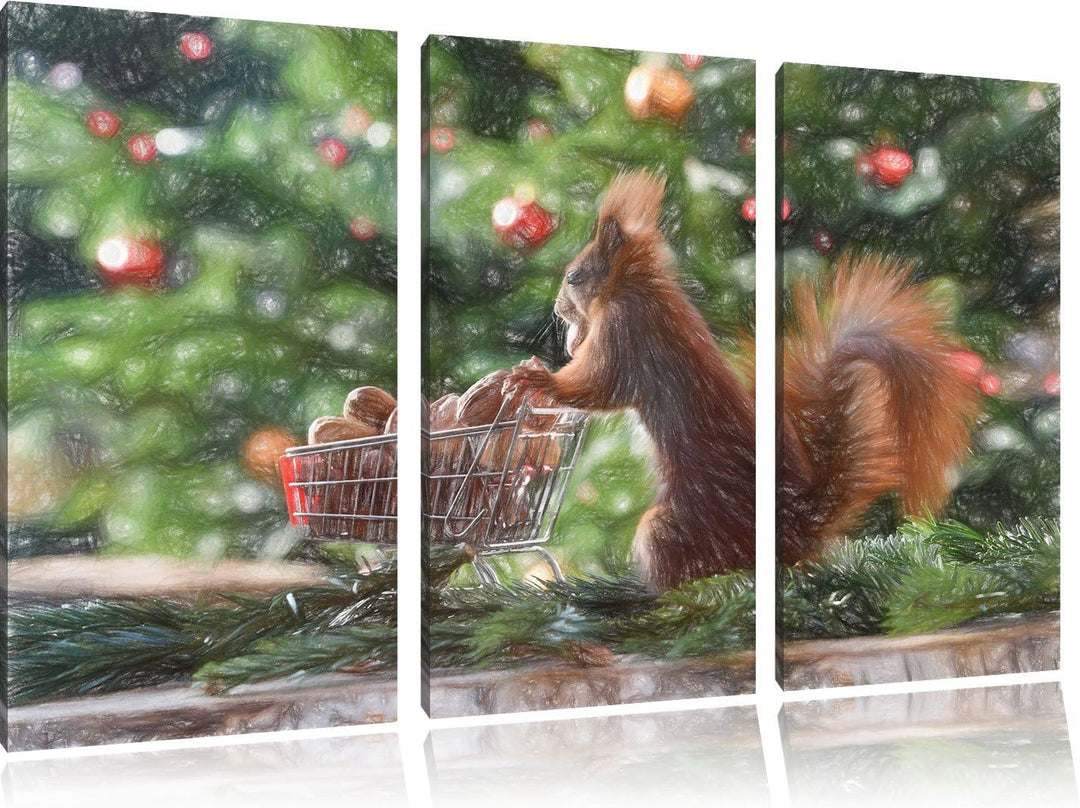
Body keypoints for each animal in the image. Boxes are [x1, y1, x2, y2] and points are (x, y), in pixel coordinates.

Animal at [506, 170, 978, 591]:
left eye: (575, 277)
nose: (558, 308)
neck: (636, 288)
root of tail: (794, 532)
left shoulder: (628, 334)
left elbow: (599, 386)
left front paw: (540, 379)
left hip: (671, 529)